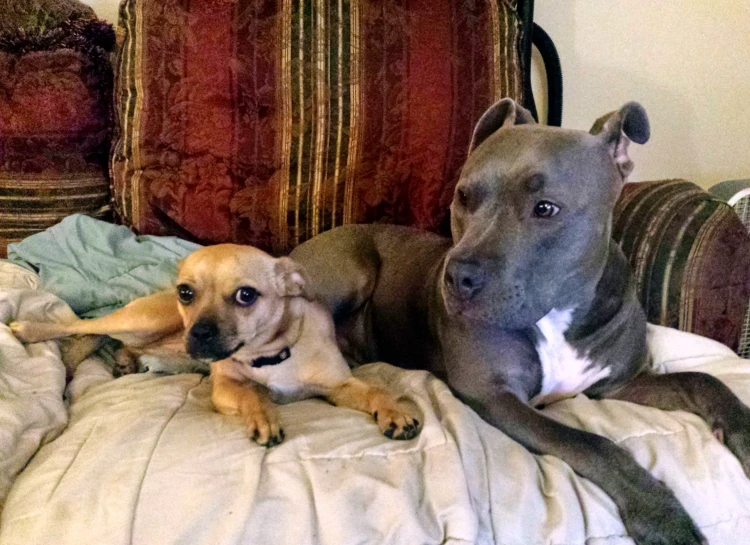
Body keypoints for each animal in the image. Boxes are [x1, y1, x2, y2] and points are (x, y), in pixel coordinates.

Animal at [10, 244, 424, 444]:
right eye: (187, 292)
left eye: (246, 295)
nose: (200, 333)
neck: (270, 356)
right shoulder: (225, 388)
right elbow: (252, 394)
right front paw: (265, 419)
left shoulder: (340, 386)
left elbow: (377, 392)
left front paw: (396, 414)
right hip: (144, 320)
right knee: (84, 325)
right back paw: (29, 329)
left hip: (168, 348)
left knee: (116, 341)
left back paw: (127, 360)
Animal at [290, 99, 750, 544]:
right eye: (464, 197)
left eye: (545, 208)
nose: (457, 277)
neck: (559, 314)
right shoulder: (496, 395)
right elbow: (591, 443)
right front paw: (658, 512)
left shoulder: (616, 384)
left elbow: (703, 380)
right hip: (350, 270)